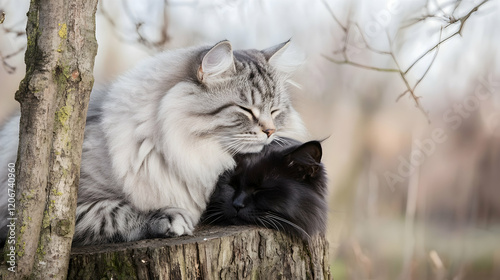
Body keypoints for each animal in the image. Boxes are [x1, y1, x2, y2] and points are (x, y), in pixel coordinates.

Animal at [0, 39, 306, 245]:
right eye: (246, 110)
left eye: (275, 111)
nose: (270, 131)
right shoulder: (45, 212)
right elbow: (113, 210)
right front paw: (170, 218)